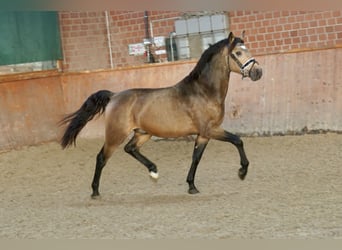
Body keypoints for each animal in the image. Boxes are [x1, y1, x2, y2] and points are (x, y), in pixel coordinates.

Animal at [59, 31, 262, 198]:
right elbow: (237, 140)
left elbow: (196, 158)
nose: (258, 72)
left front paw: (191, 186)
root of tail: (114, 96)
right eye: (238, 53)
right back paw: (95, 191)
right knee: (102, 157)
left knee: (130, 149)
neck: (203, 91)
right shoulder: (210, 129)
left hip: (143, 133)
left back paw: (153, 171)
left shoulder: (203, 135)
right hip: (116, 134)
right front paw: (242, 172)